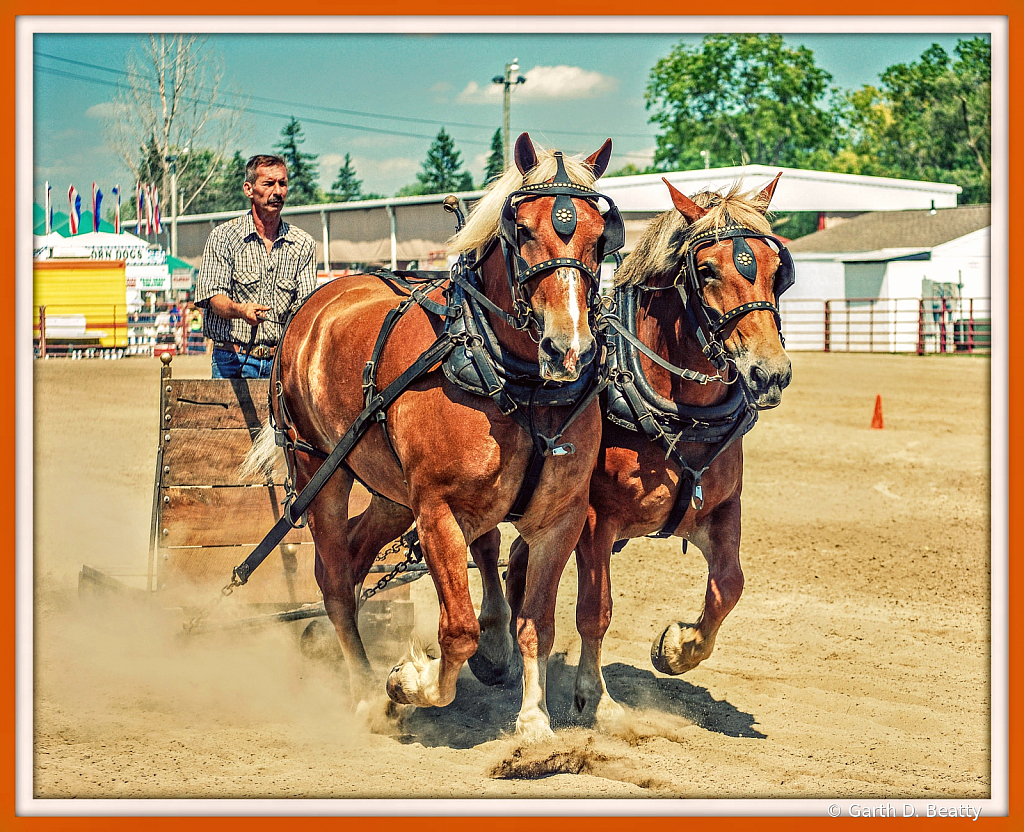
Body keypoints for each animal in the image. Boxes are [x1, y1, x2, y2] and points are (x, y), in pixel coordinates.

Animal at [245, 133, 622, 737]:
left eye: (598, 235)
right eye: (523, 229)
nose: (569, 348)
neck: (510, 379)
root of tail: (319, 300)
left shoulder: (560, 518)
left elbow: (537, 624)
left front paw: (534, 722)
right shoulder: (440, 511)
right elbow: (459, 630)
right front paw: (409, 682)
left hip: (391, 493)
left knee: (354, 555)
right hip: (320, 470)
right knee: (333, 579)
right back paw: (363, 692)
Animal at [495, 177, 790, 729]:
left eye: (774, 267)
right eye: (706, 269)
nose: (770, 373)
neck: (681, 414)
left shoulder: (720, 509)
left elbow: (730, 584)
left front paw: (676, 649)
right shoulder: (593, 520)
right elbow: (595, 611)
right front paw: (593, 696)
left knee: (518, 570)